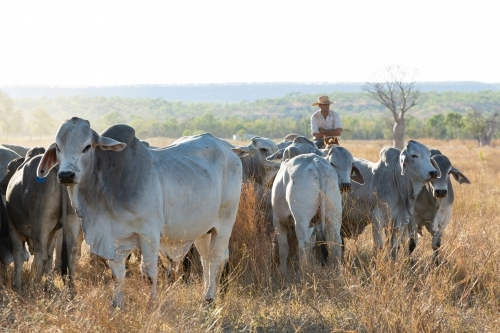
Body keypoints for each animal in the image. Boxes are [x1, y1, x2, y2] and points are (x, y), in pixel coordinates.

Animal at [37, 118, 242, 308]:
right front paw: (117, 305)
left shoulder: (149, 235)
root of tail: (228, 151)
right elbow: (117, 275)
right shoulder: (112, 239)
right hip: (203, 230)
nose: (66, 175)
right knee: (206, 259)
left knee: (216, 260)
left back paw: (209, 299)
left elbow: (149, 274)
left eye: (87, 146)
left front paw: (152, 304)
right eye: (58, 147)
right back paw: (205, 296)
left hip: (224, 225)